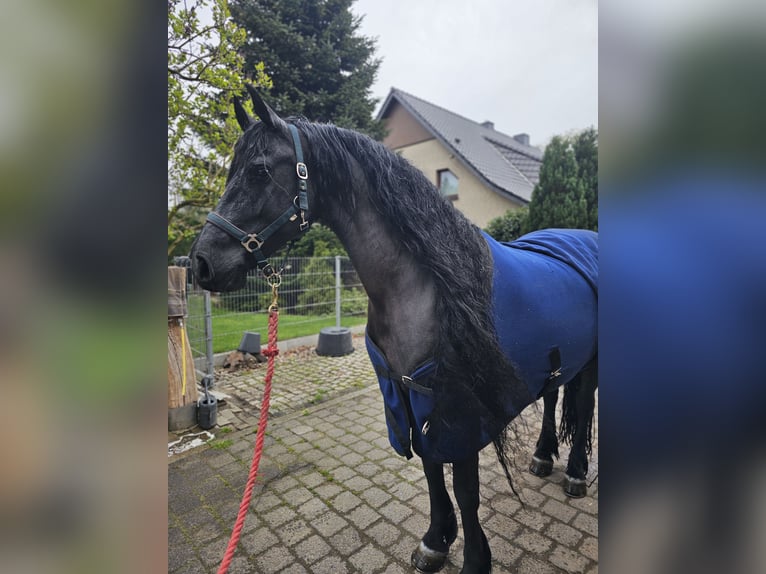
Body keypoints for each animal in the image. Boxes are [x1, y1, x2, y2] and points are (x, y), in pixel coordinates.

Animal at [190, 86, 598, 574]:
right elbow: (429, 467)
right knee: (554, 396)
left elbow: (466, 490)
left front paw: (474, 560)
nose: (200, 263)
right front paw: (435, 541)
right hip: (558, 360)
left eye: (260, 170)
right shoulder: (406, 395)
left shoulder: (456, 409)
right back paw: (542, 456)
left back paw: (575, 473)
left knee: (585, 406)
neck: (421, 287)